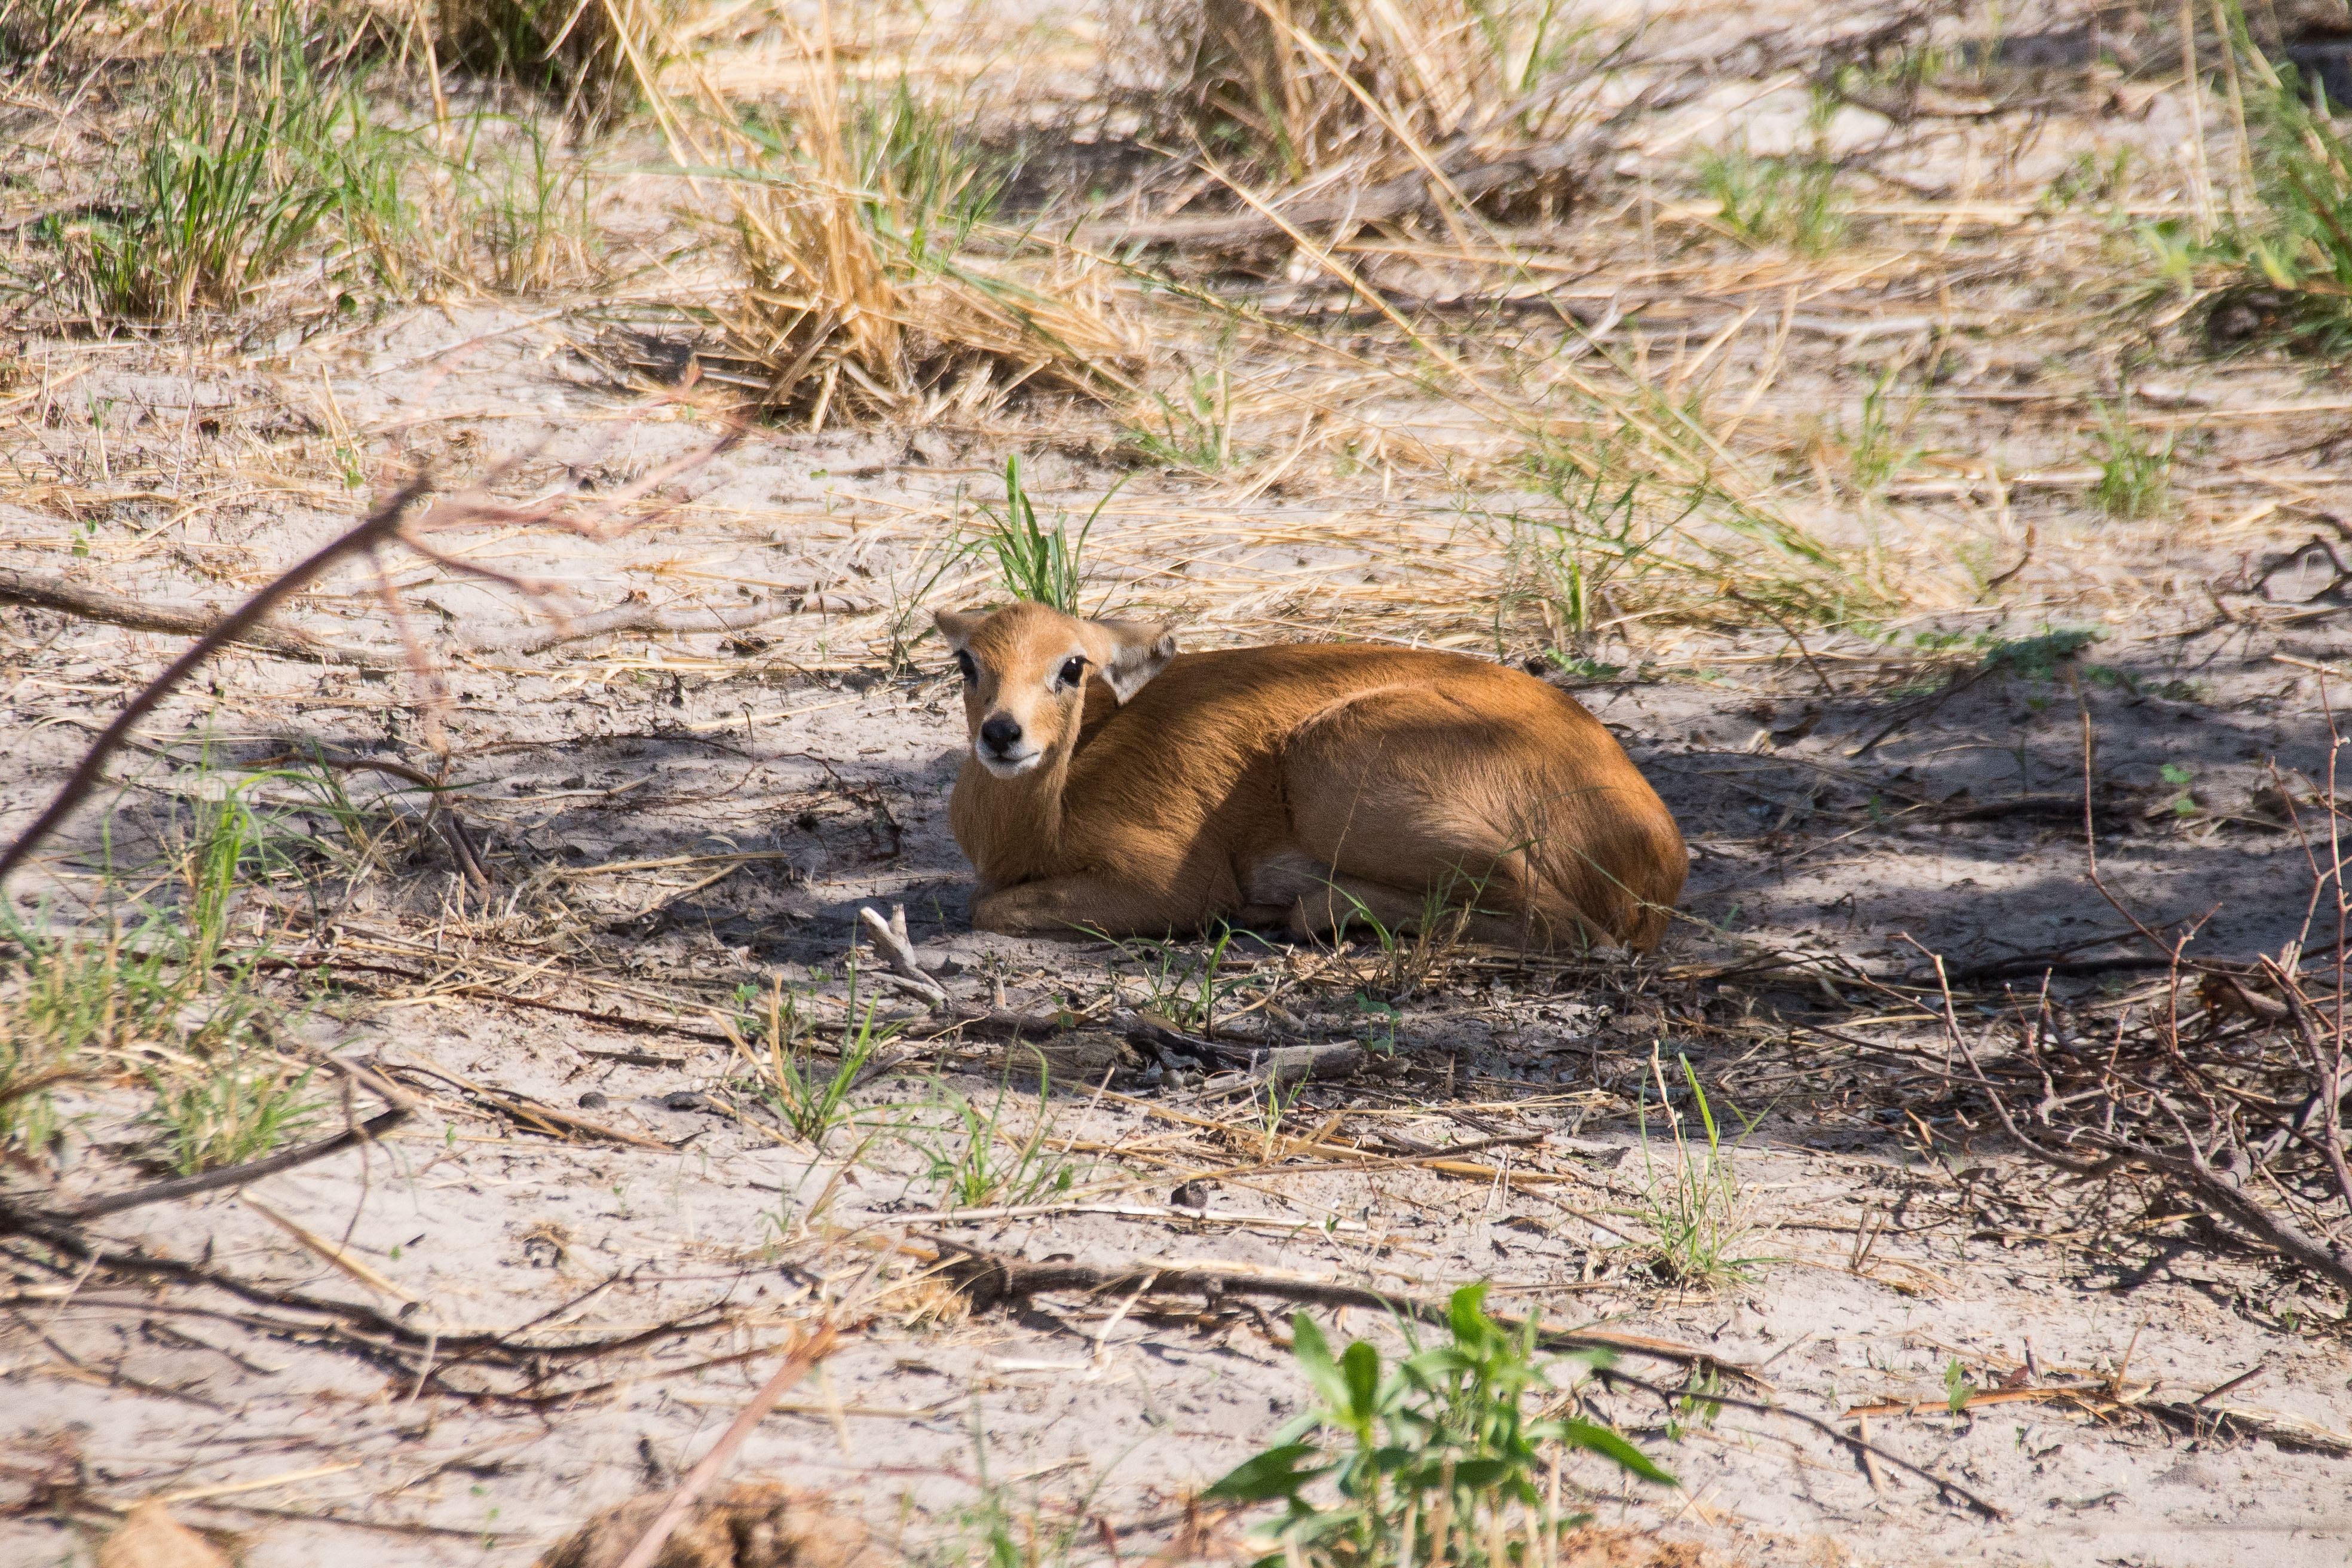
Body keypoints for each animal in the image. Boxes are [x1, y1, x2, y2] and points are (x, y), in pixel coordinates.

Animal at [926, 606, 1684, 950]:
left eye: (1073, 664)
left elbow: (987, 906)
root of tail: (1658, 848)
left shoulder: (1175, 880)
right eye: (968, 661)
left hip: (1336, 765)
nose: (1003, 733)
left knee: (1570, 924)